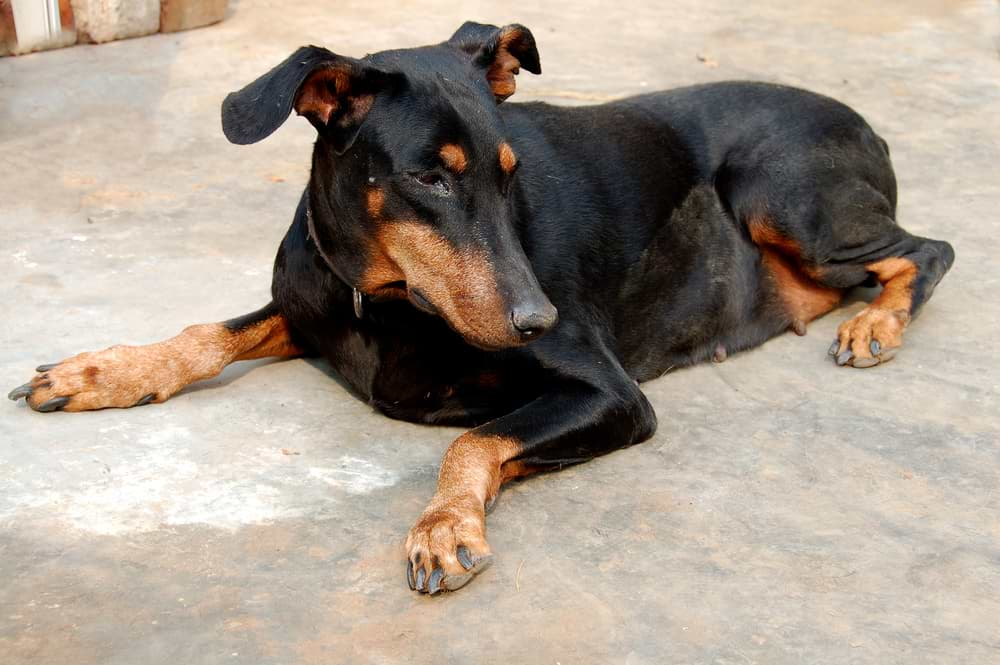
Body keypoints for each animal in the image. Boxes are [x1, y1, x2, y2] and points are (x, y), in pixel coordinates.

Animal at [5, 20, 952, 592]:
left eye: (509, 172)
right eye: (429, 176)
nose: (538, 320)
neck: (383, 299)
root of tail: (865, 121)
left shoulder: (610, 390)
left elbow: (474, 436)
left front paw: (442, 523)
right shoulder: (310, 303)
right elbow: (206, 331)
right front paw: (101, 371)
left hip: (781, 191)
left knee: (928, 250)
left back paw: (874, 323)